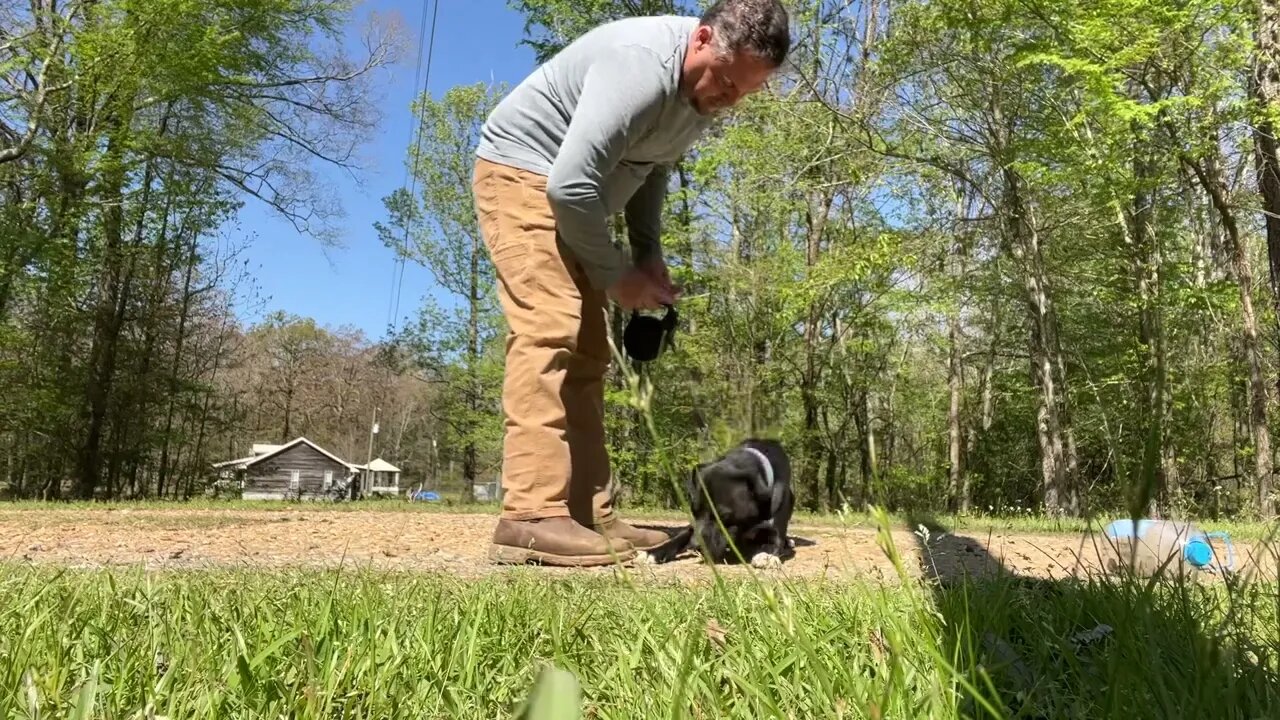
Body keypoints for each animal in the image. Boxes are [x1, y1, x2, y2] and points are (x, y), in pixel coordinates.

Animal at [650, 438, 788, 566]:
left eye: (722, 517)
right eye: (693, 512)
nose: (695, 547)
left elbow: (776, 539)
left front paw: (766, 556)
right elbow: (684, 534)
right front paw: (655, 552)